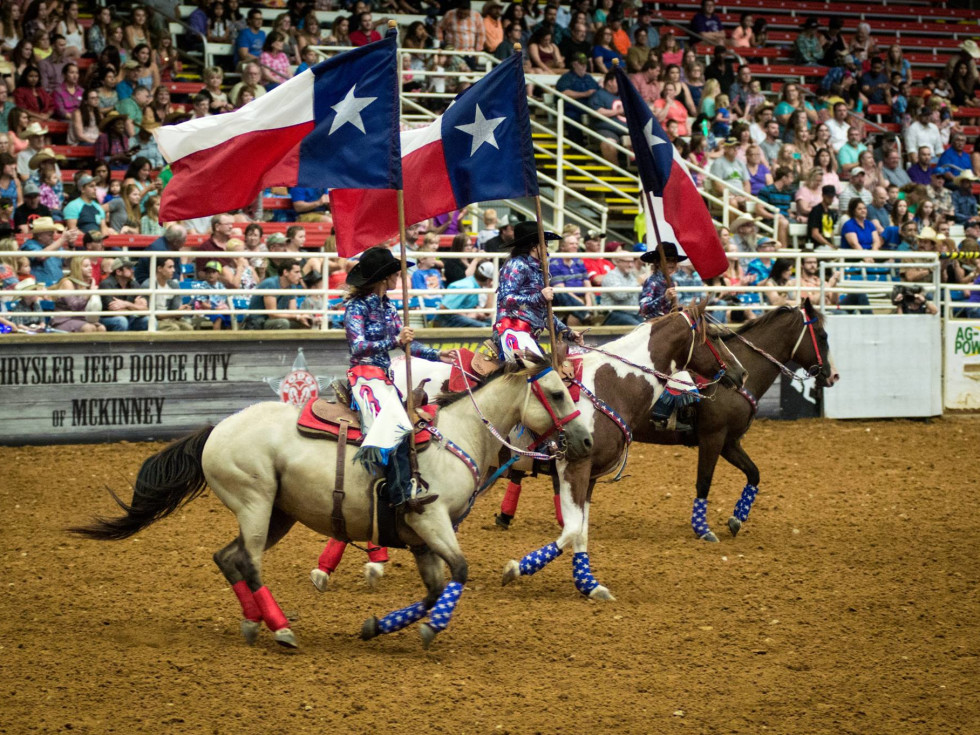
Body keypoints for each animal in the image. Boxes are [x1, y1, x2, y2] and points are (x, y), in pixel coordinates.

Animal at [72, 354, 592, 652]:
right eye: (556, 392)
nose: (587, 440)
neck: (457, 435)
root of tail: (216, 429)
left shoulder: (421, 537)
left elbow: (431, 590)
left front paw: (377, 627)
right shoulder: (431, 519)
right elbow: (459, 573)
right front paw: (430, 630)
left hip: (276, 513)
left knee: (227, 557)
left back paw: (252, 623)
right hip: (256, 503)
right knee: (249, 561)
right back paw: (281, 629)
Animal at [394, 306, 748, 604]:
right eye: (717, 335)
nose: (741, 373)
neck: (611, 385)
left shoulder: (589, 476)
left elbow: (582, 531)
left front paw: (589, 584)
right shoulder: (573, 466)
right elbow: (573, 528)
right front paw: (516, 569)